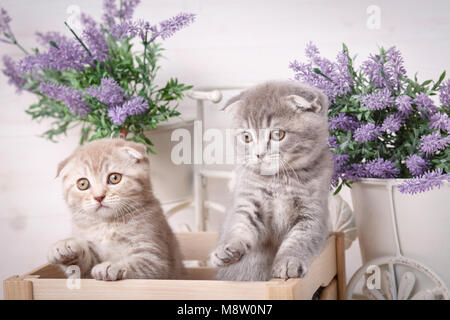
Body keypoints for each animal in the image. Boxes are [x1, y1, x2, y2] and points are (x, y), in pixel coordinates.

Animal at [47, 138, 185, 280]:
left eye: (114, 178)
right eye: (83, 183)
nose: (99, 197)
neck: (107, 225)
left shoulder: (156, 259)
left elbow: (139, 264)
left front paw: (112, 266)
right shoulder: (87, 272)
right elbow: (84, 267)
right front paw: (64, 247)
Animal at [210, 80, 330, 280]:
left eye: (277, 134)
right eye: (246, 137)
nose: (259, 154)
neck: (279, 180)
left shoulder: (313, 213)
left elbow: (299, 241)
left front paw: (289, 262)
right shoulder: (249, 200)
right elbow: (240, 226)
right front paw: (227, 248)